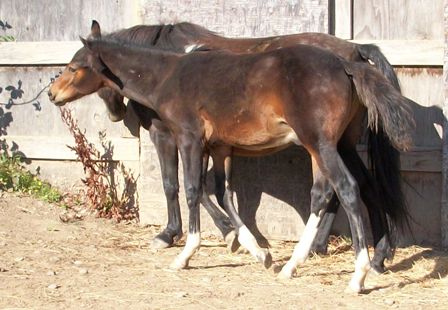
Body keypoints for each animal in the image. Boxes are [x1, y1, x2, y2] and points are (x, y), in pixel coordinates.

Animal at [48, 22, 412, 294]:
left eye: (76, 67)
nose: (52, 94)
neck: (171, 74)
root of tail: (349, 61)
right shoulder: (220, 147)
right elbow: (221, 192)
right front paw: (255, 250)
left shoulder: (186, 139)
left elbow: (188, 188)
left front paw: (183, 251)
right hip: (329, 147)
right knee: (327, 193)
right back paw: (298, 264)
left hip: (321, 145)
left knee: (348, 190)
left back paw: (360, 272)